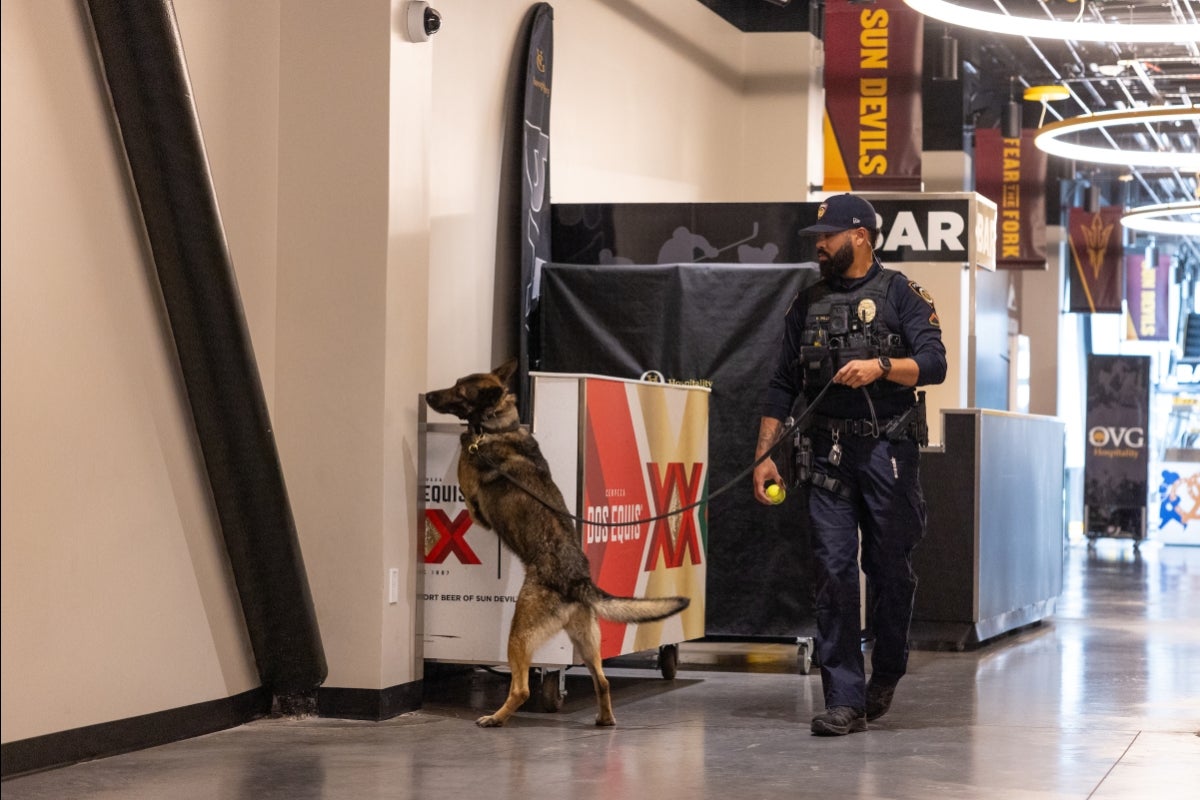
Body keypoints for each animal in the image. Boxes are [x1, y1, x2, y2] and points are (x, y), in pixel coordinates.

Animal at [424, 359, 691, 729]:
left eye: (459, 390)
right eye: (455, 382)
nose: (426, 396)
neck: (498, 425)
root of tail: (578, 581)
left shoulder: (475, 506)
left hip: (519, 634)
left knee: (522, 688)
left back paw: (496, 718)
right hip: (588, 642)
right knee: (602, 681)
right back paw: (604, 719)